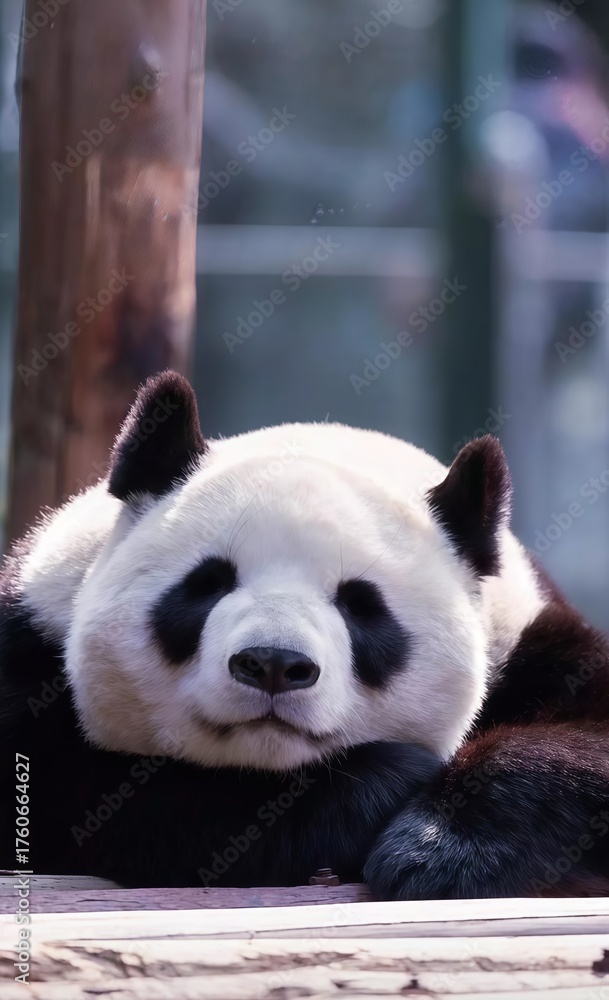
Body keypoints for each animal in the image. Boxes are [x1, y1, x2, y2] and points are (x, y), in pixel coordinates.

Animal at [1, 370, 608, 897]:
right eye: (209, 583)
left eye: (361, 605)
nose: (272, 663)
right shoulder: (32, 637)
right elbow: (92, 793)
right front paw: (389, 783)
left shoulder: (532, 639)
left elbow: (580, 745)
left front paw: (437, 853)